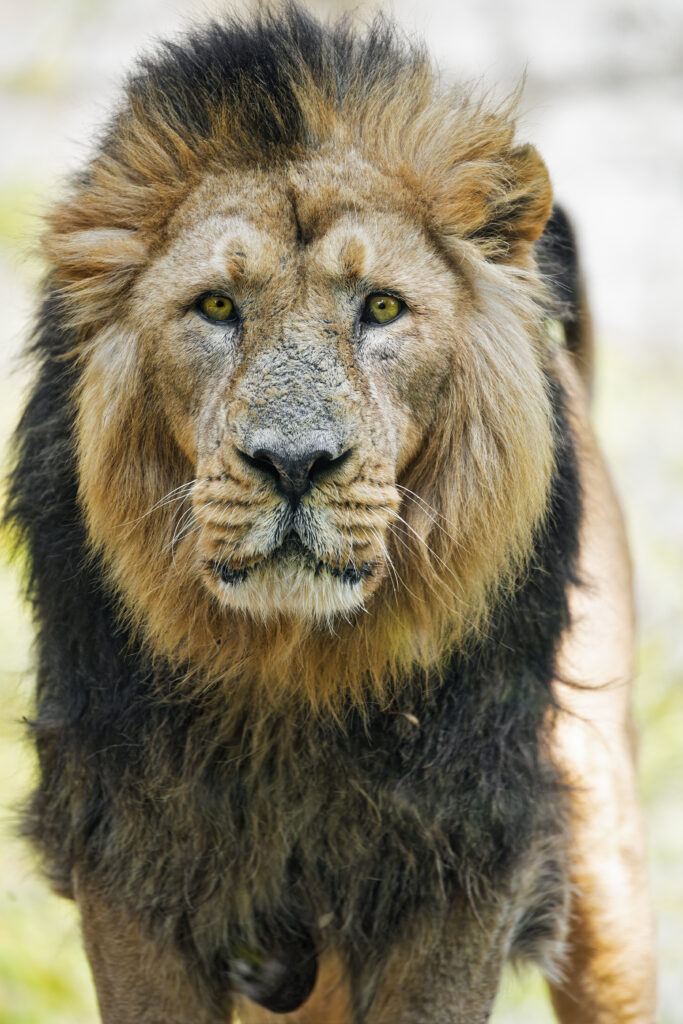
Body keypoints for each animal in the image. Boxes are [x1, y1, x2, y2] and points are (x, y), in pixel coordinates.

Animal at [5, 7, 656, 1023]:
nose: (294, 464)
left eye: (381, 308)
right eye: (216, 306)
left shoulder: (465, 845)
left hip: (601, 856)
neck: (294, 670)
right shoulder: (128, 843)